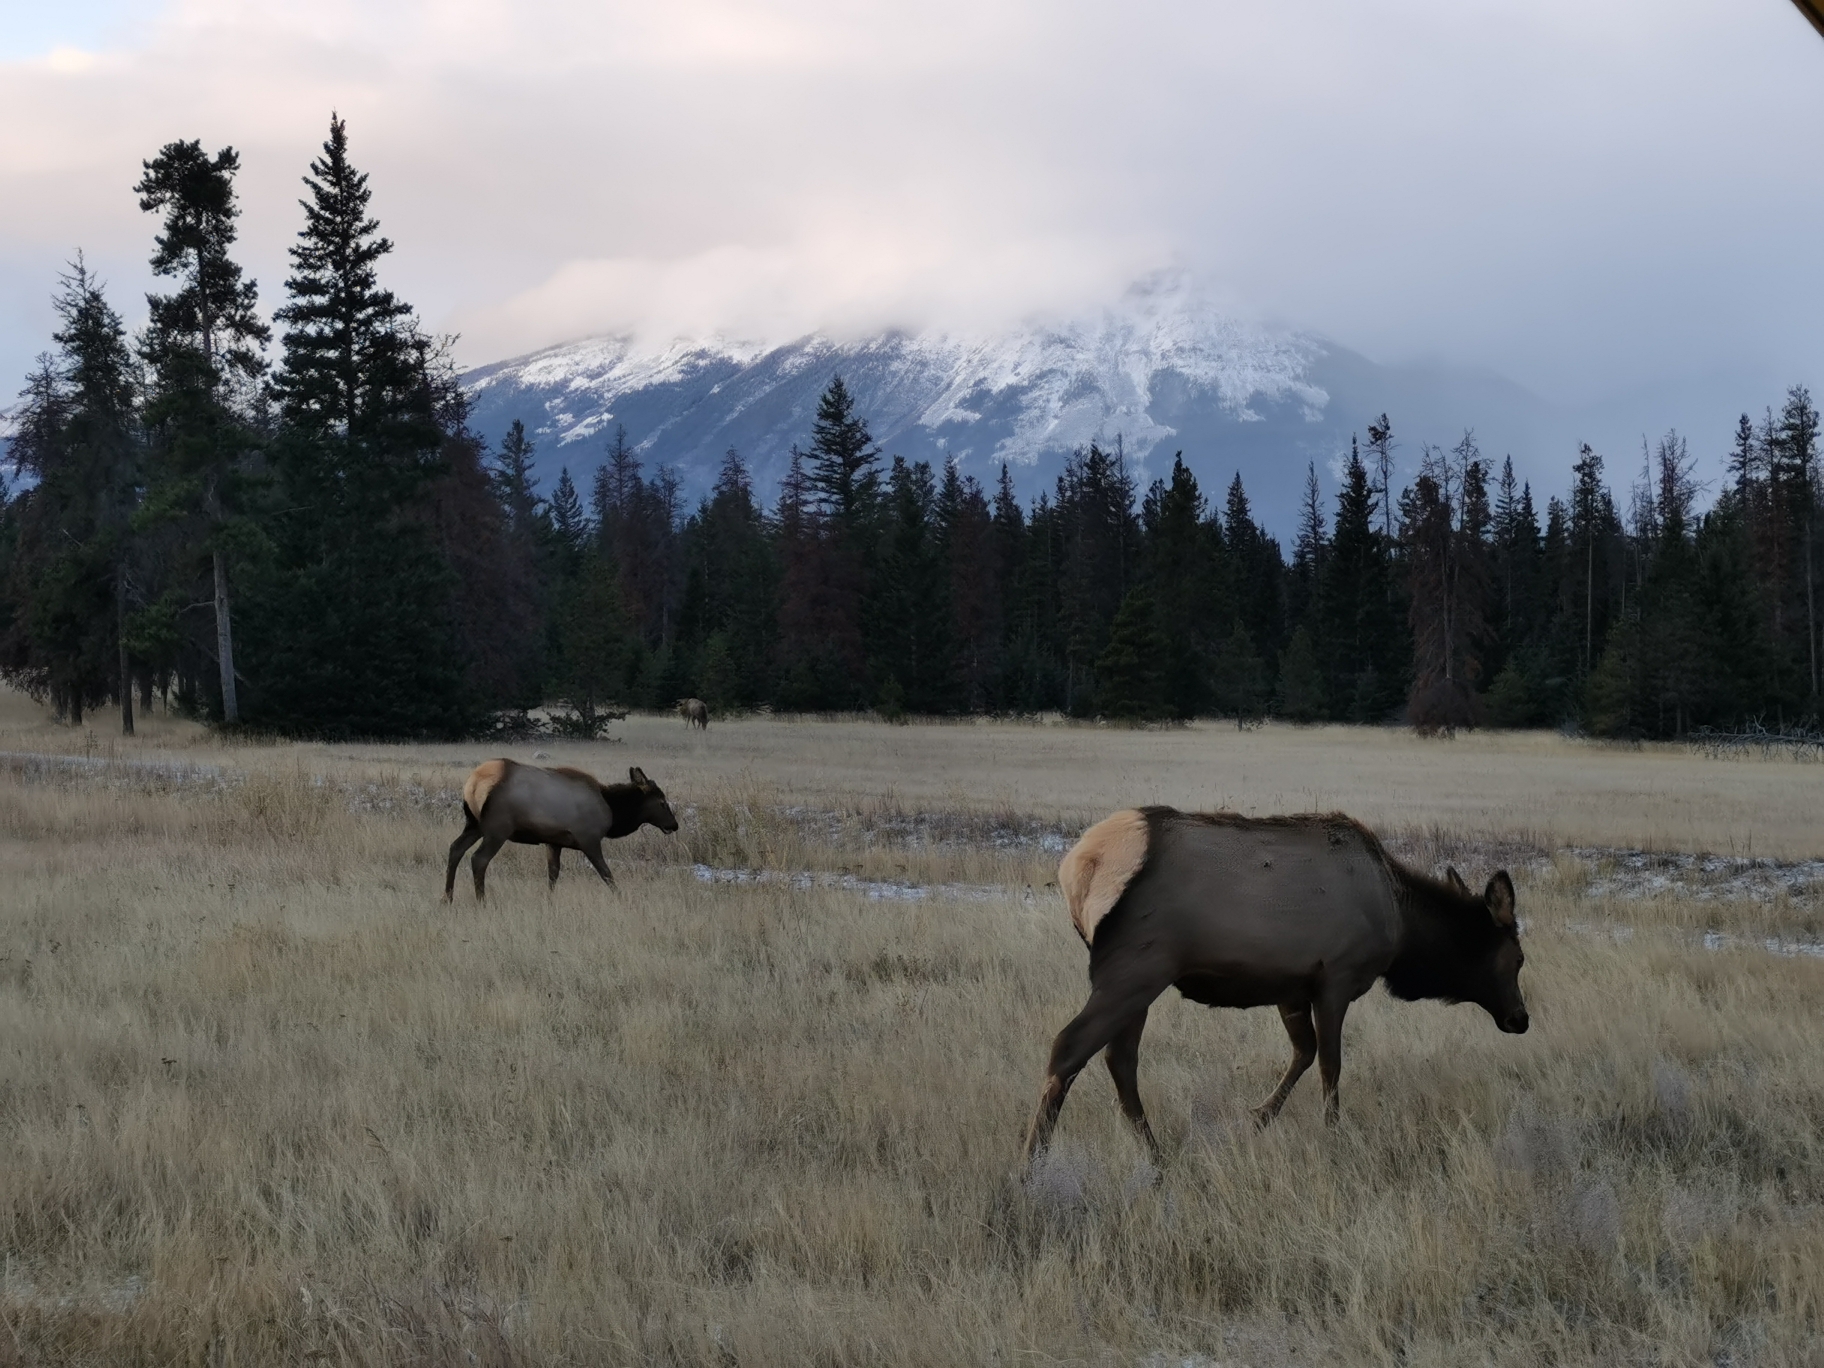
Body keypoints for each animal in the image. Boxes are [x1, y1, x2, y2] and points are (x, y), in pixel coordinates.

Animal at [1028, 809, 1524, 1174]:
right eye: (1518, 958)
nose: (1520, 1018)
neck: (1402, 928)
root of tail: (1077, 868)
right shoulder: (1337, 976)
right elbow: (1330, 1064)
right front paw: (1333, 1135)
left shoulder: (1291, 985)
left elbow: (1303, 1051)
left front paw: (1258, 1117)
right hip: (1137, 966)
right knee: (1069, 1047)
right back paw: (1033, 1165)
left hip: (1140, 977)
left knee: (1120, 1060)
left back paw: (1155, 1154)